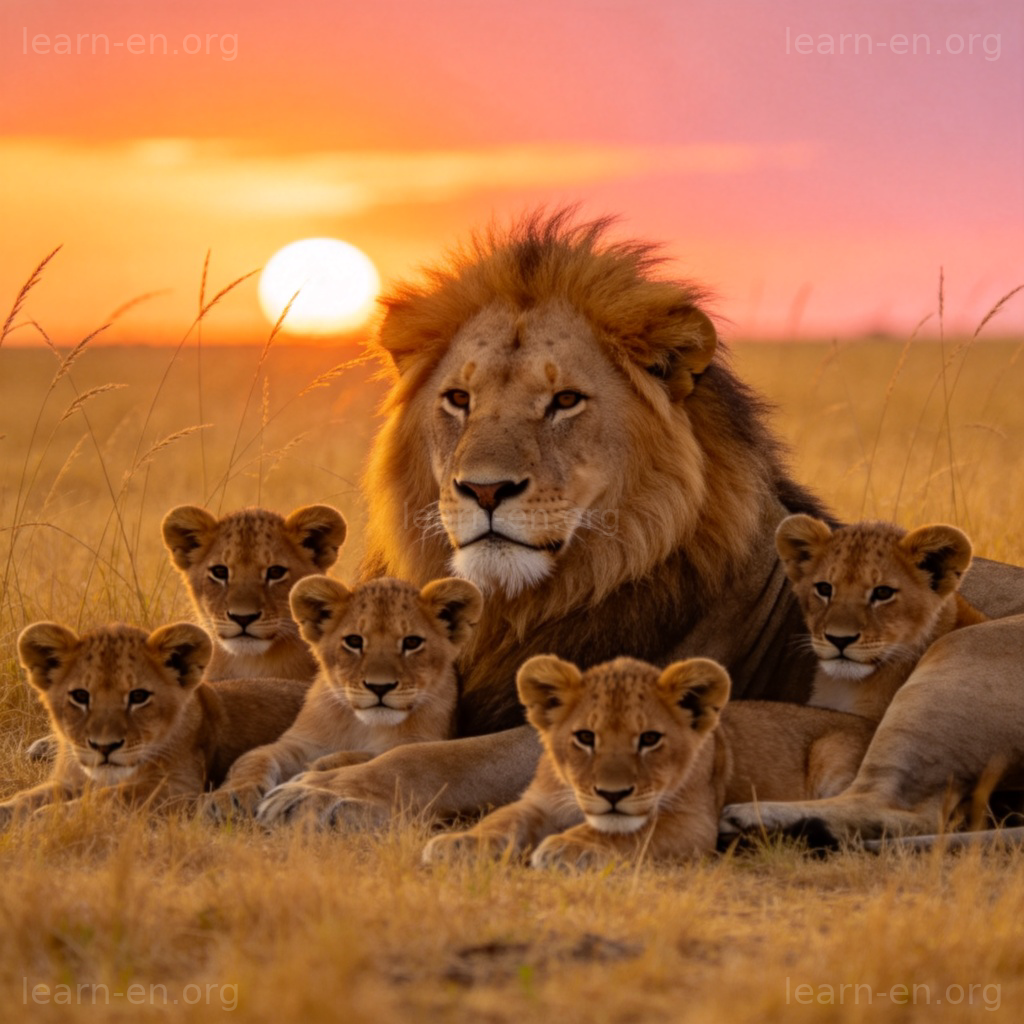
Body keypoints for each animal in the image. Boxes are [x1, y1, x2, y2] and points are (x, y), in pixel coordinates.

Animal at [2, 622, 308, 825]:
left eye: (138, 696)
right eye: (80, 696)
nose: (105, 747)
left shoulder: (179, 788)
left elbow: (114, 796)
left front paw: (49, 816)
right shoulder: (68, 781)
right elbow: (30, 796)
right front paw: (9, 811)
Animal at [201, 575, 483, 824]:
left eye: (412, 642)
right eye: (354, 641)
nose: (380, 687)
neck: (362, 724)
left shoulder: (425, 741)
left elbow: (379, 755)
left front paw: (318, 769)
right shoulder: (299, 743)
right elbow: (253, 758)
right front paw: (230, 796)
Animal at [422, 655, 875, 869]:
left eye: (650, 739)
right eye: (585, 737)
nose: (612, 794)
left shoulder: (692, 822)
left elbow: (628, 832)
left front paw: (569, 847)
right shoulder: (539, 801)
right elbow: (502, 819)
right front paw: (461, 843)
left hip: (835, 755)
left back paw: (750, 820)